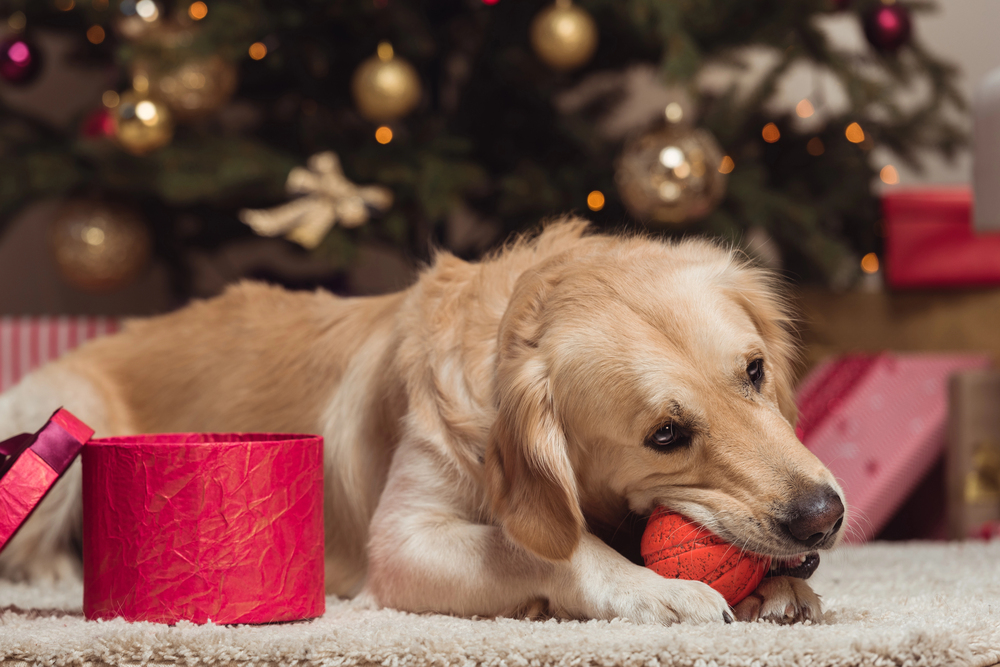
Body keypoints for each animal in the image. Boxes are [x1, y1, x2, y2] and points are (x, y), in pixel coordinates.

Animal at [0, 220, 844, 628]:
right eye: (665, 434)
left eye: (755, 371)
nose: (825, 516)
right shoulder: (404, 539)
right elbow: (546, 547)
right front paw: (657, 590)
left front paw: (778, 589)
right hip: (62, 401)